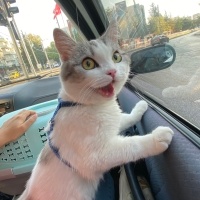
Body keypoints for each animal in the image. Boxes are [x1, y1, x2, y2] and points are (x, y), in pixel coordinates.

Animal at [18, 21, 174, 199]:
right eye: (88, 64)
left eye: (116, 57)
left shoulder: (113, 122)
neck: (93, 106)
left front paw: (140, 107)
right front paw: (157, 137)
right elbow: (131, 145)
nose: (112, 71)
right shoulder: (95, 156)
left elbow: (126, 118)